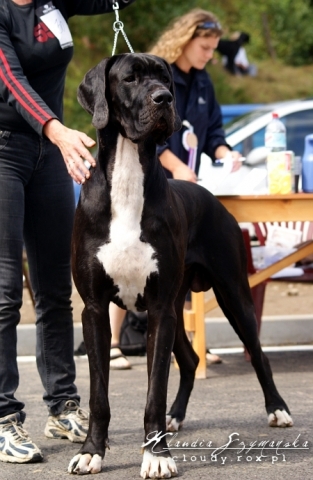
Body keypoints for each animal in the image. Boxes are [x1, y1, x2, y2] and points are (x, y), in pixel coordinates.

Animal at [68, 53, 292, 476]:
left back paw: (278, 409)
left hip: (231, 294)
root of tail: (212, 195)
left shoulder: (158, 309)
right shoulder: (95, 310)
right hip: (178, 304)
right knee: (190, 360)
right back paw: (175, 416)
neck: (127, 177)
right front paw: (92, 451)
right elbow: (99, 394)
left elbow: (154, 389)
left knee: (258, 354)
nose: (164, 99)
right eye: (130, 78)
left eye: (165, 78)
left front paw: (156, 457)